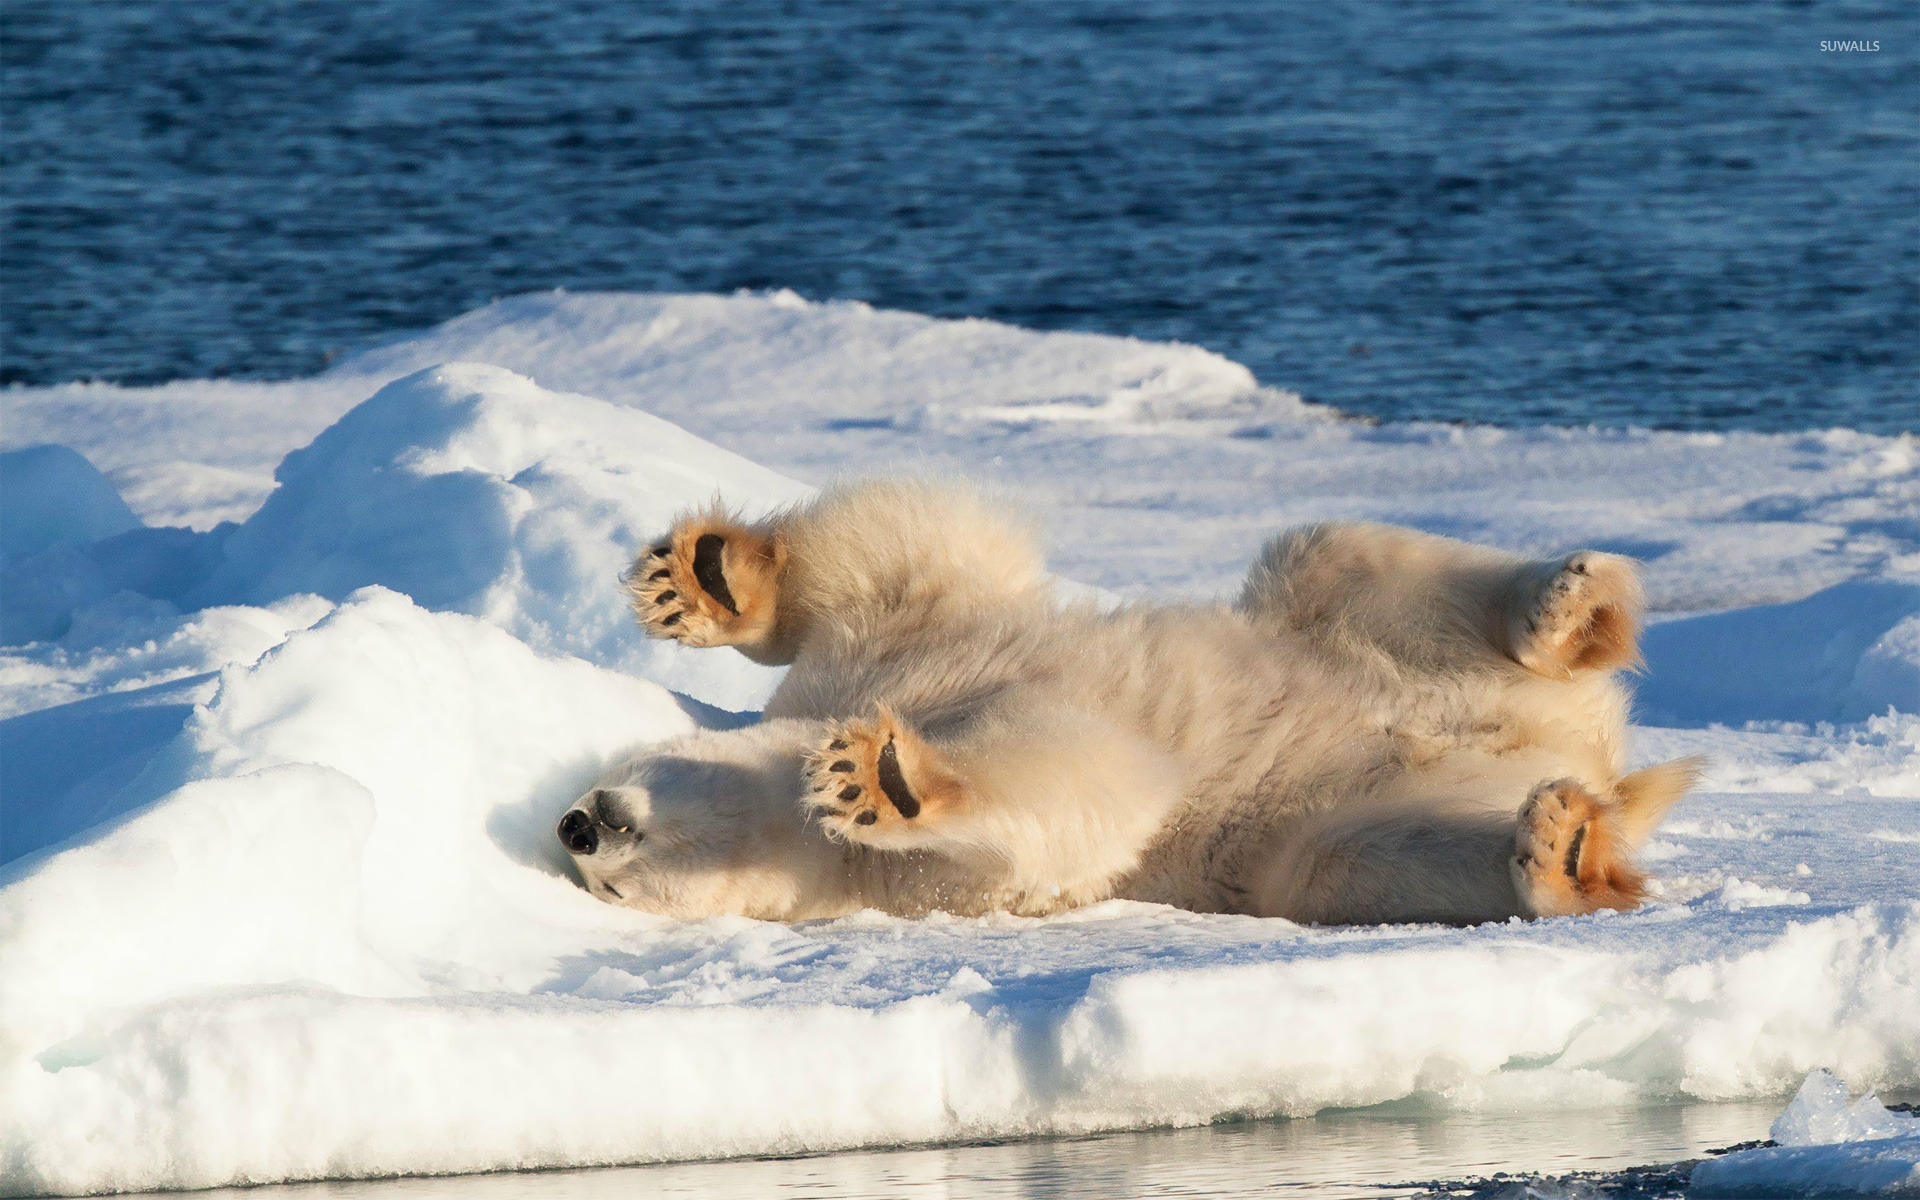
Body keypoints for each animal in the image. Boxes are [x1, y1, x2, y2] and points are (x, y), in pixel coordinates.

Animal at [557, 478, 1698, 925]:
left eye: (619, 774)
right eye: (608, 888)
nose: (577, 824)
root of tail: (1591, 753)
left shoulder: (885, 651)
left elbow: (903, 557)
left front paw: (706, 581)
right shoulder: (927, 887)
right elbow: (1074, 805)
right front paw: (884, 775)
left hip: (1357, 634)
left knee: (1335, 555)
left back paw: (1567, 607)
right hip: (1341, 821)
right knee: (1366, 860)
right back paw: (1562, 852)